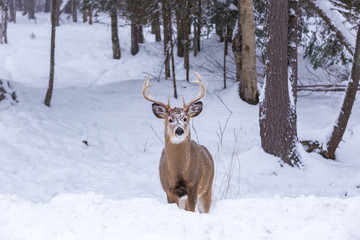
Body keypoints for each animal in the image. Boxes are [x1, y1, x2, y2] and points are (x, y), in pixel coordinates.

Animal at [141, 72, 214, 213]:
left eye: (185, 118)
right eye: (170, 119)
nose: (179, 130)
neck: (179, 173)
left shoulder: (194, 186)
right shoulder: (168, 190)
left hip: (207, 187)